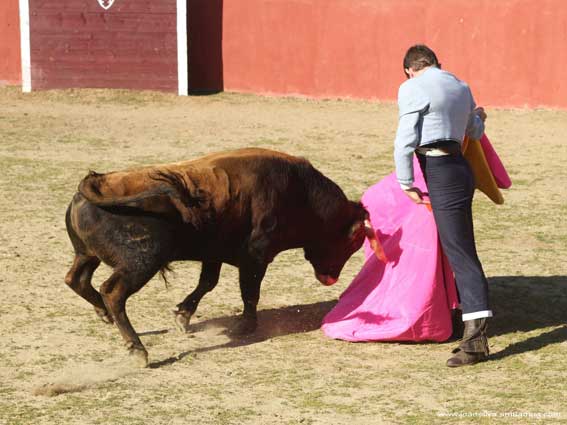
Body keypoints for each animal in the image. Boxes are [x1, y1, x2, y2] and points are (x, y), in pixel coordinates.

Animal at [65, 147, 386, 364]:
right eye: (352, 242)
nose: (330, 278)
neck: (301, 194)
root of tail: (91, 188)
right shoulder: (257, 255)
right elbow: (250, 291)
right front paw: (246, 326)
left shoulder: (214, 252)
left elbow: (208, 283)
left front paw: (182, 316)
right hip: (141, 262)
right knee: (112, 291)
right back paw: (137, 349)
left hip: (86, 254)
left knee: (76, 279)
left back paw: (105, 316)